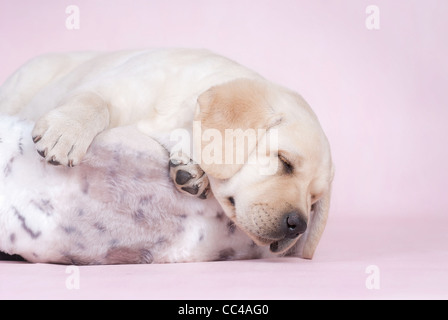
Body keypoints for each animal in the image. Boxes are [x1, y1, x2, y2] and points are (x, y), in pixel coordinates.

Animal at [0, 48, 332, 262]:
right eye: (284, 162)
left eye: (314, 199)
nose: (299, 225)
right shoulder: (112, 89)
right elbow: (94, 101)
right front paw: (67, 130)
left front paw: (195, 171)